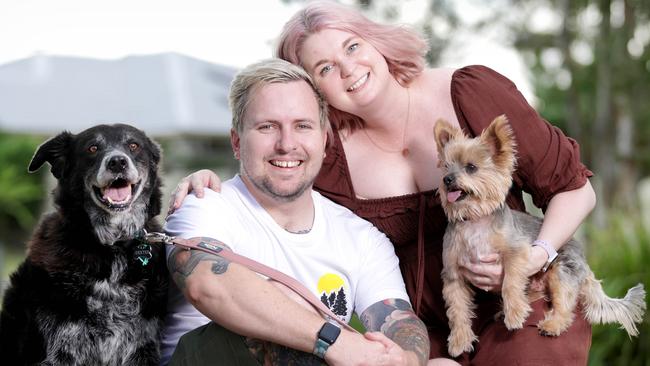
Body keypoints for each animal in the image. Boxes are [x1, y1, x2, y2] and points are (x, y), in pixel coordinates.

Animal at [1, 124, 167, 364]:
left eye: (134, 145)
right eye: (92, 148)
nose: (118, 162)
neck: (112, 246)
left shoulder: (142, 348)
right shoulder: (59, 351)